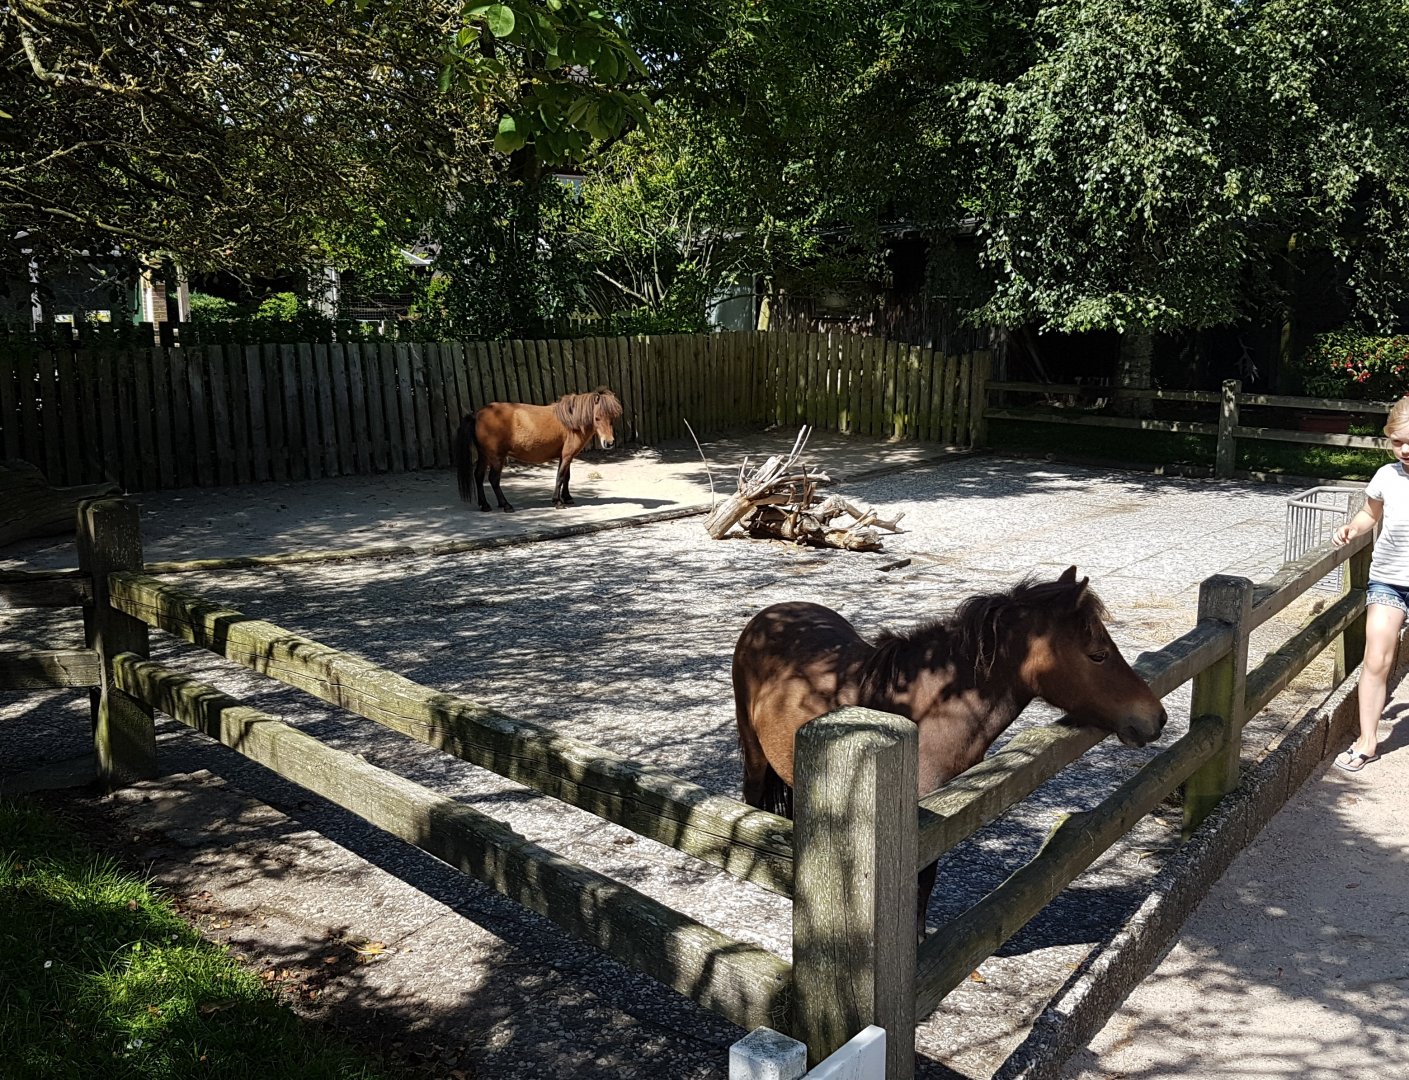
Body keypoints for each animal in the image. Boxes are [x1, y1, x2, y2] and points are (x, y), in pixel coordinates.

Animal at [453, 388, 622, 512]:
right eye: (597, 417)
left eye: (612, 418)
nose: (609, 442)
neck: (571, 422)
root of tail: (477, 415)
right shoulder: (567, 454)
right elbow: (560, 477)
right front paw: (558, 502)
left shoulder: (566, 456)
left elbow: (566, 477)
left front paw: (567, 498)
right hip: (496, 457)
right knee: (493, 479)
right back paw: (506, 505)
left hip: (485, 456)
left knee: (478, 476)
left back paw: (485, 505)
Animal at [731, 566, 1167, 940]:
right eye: (1097, 654)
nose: (1156, 717)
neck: (923, 715)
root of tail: (769, 614)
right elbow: (920, 883)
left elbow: (926, 884)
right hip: (754, 753)